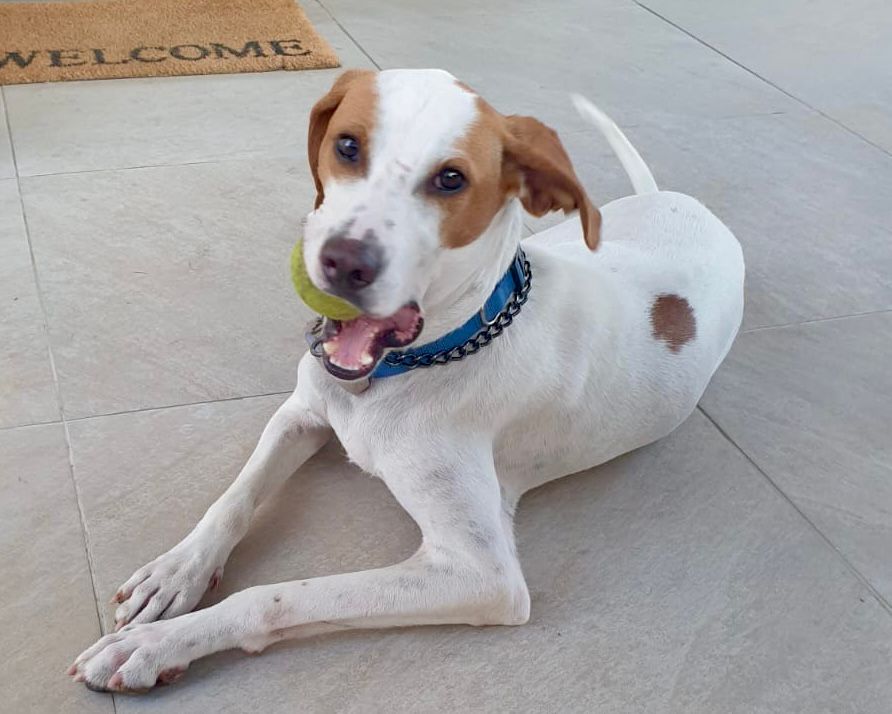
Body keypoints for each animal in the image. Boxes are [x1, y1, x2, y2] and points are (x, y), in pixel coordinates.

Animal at [70, 68, 744, 692]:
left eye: (451, 179)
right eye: (346, 145)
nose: (343, 263)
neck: (415, 364)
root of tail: (683, 201)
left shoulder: (481, 575)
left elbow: (278, 595)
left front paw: (157, 644)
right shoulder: (302, 412)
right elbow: (233, 497)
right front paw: (174, 574)